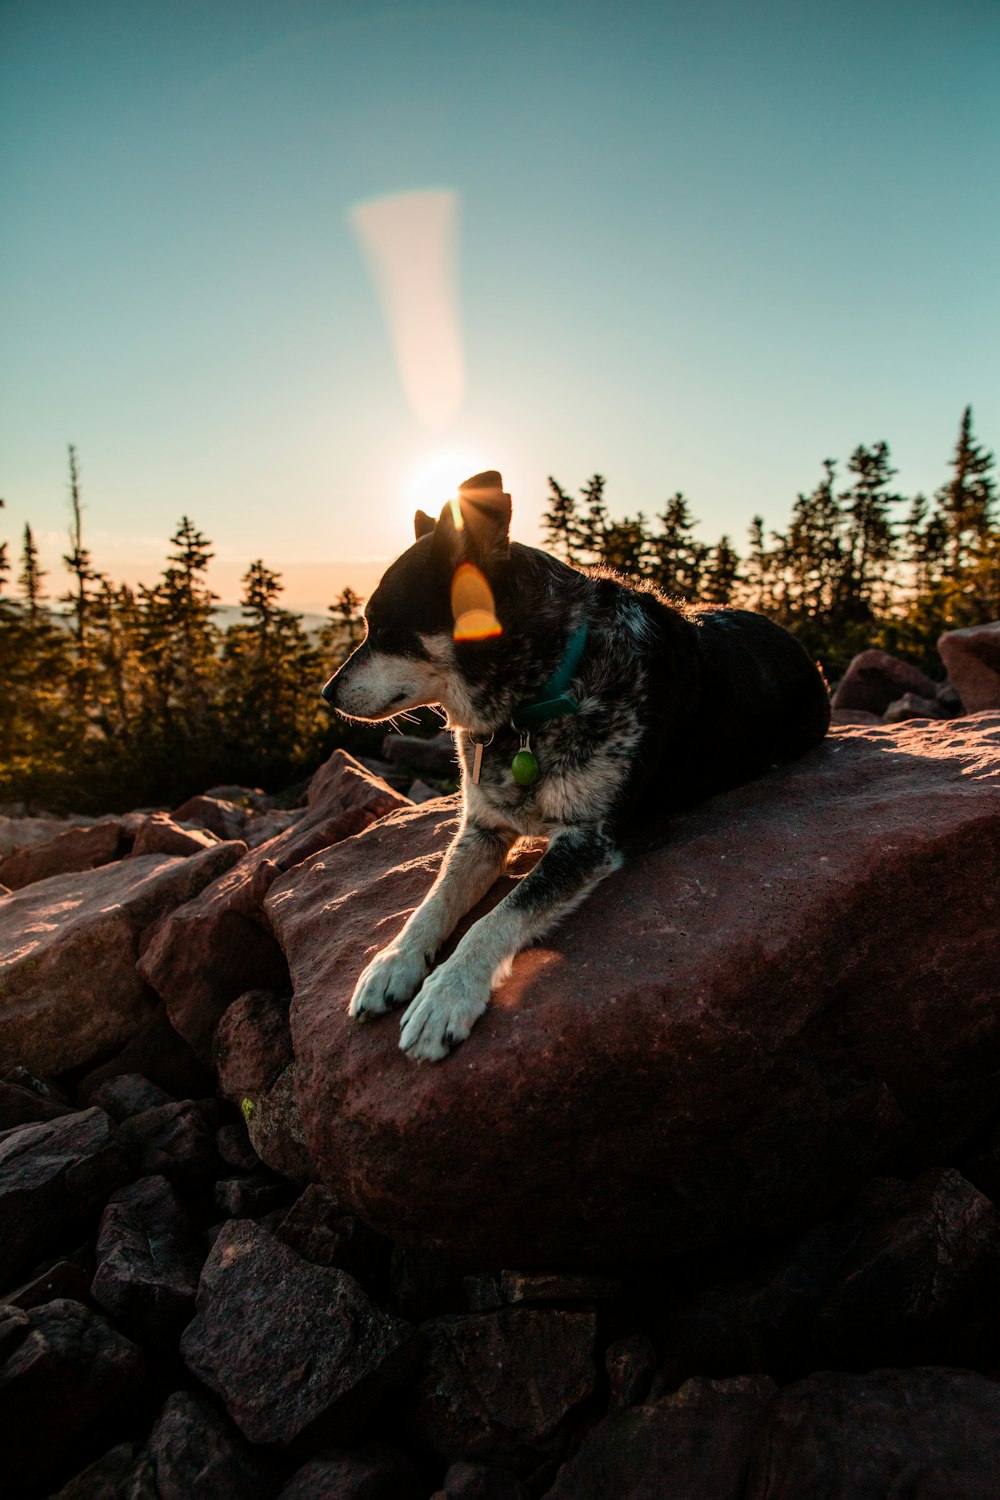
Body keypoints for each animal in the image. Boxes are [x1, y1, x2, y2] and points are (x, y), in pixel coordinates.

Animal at [320, 462, 827, 1062]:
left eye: (385, 628)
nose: (326, 693)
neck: (539, 695)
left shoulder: (587, 839)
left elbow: (495, 919)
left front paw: (446, 995)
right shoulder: (482, 828)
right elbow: (434, 899)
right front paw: (393, 962)